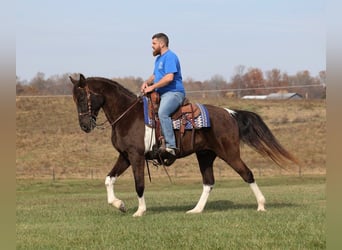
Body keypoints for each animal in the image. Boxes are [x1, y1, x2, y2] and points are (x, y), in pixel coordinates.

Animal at [70, 73, 300, 217]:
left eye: (82, 97)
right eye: (74, 98)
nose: (84, 125)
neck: (127, 115)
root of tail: (229, 113)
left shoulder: (136, 156)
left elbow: (139, 184)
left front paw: (139, 211)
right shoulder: (125, 156)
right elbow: (108, 179)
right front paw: (120, 205)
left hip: (230, 153)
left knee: (248, 174)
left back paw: (261, 206)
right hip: (205, 155)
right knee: (209, 182)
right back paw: (196, 210)